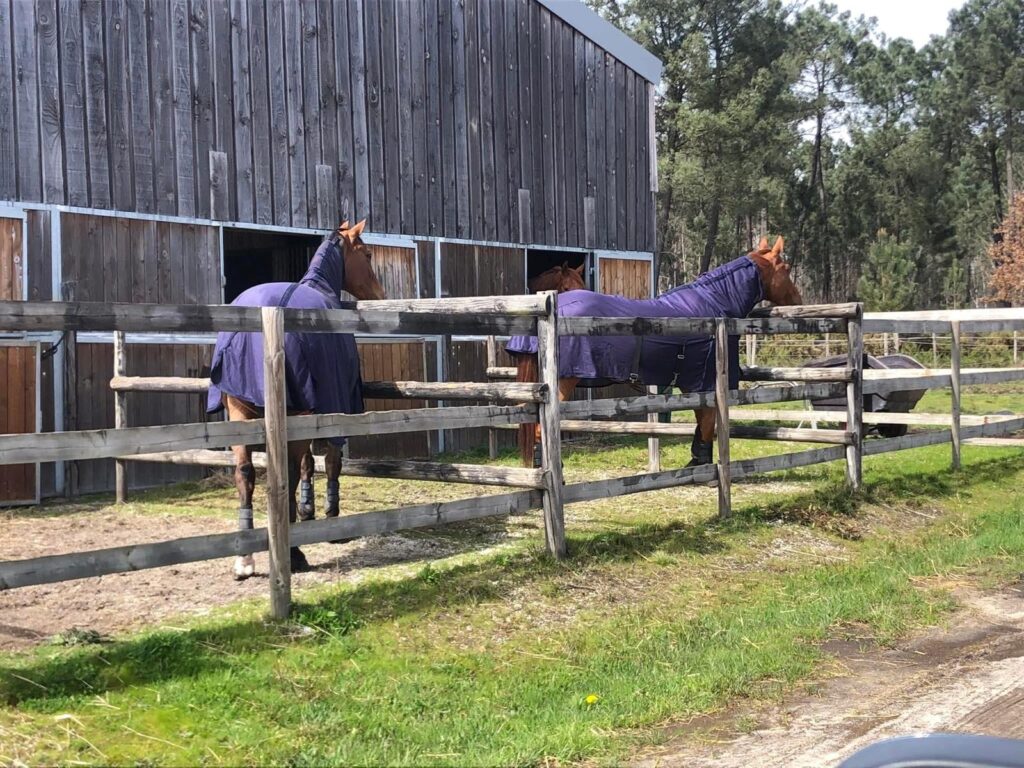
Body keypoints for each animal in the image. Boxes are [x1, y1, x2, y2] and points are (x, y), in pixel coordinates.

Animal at [206, 219, 386, 579]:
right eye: (367, 254)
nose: (379, 295)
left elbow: (306, 463)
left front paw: (308, 509)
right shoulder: (333, 406)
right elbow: (330, 460)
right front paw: (331, 517)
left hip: (239, 411)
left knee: (245, 472)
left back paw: (244, 559)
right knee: (284, 473)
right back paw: (294, 553)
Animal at [509, 237, 802, 468]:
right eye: (786, 268)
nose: (797, 301)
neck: (714, 304)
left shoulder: (695, 384)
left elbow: (701, 422)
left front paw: (696, 461)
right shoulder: (707, 380)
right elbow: (707, 423)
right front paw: (702, 467)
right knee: (541, 428)